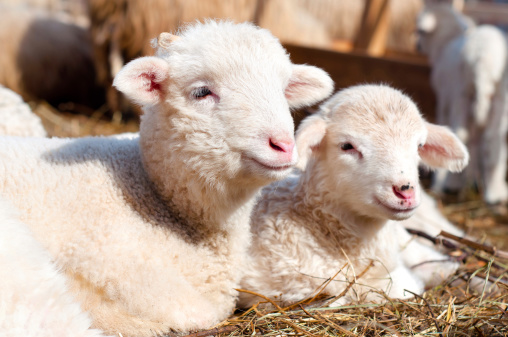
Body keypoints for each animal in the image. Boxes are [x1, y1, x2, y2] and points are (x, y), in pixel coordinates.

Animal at [416, 1, 508, 203]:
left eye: (419, 31)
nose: (416, 46)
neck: (446, 41)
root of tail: (484, 58)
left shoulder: (445, 98)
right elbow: (476, 141)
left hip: (462, 95)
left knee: (460, 134)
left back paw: (447, 184)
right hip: (500, 98)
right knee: (493, 139)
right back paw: (495, 193)